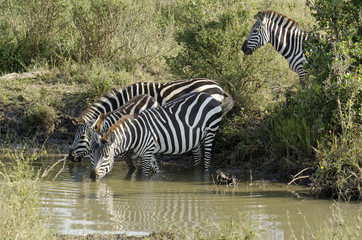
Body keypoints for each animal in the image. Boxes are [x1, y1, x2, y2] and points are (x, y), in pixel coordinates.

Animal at [88, 92, 235, 180]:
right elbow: (156, 171)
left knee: (207, 158)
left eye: (107, 156)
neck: (135, 133)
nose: (92, 176)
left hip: (211, 132)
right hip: (196, 138)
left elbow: (144, 176)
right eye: (92, 154)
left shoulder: (147, 152)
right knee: (198, 156)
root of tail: (209, 96)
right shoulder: (148, 152)